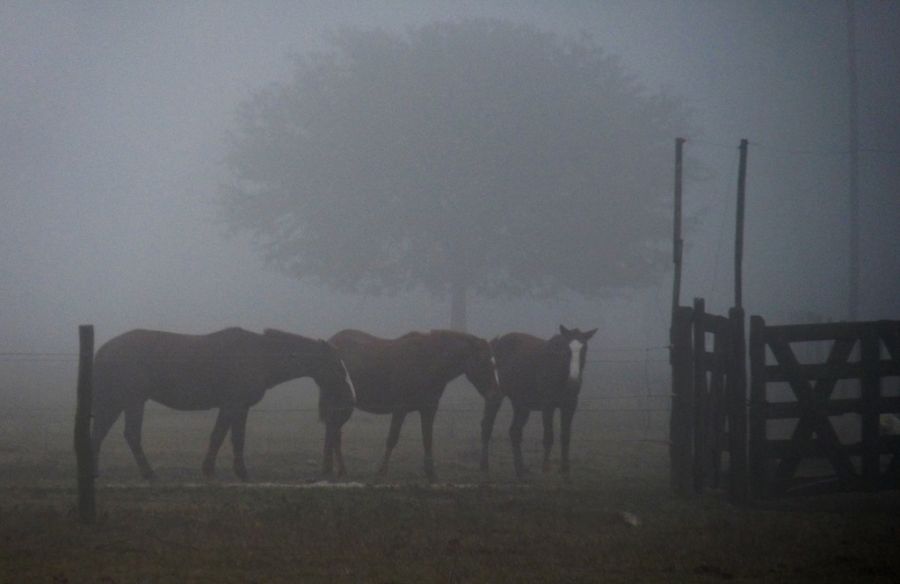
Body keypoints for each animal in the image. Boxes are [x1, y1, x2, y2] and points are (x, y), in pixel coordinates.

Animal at [89, 326, 356, 482]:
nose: (350, 397)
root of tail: (104, 350)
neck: (259, 356)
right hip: (133, 402)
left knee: (99, 433)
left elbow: (229, 437)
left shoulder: (237, 407)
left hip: (116, 402)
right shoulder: (233, 405)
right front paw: (223, 471)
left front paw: (226, 470)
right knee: (131, 434)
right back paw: (148, 473)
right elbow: (225, 437)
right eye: (337, 366)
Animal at [328, 328, 500, 484]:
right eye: (484, 362)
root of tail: (331, 342)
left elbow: (427, 439)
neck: (427, 363)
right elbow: (392, 438)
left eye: (494, 363)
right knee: (335, 434)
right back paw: (341, 470)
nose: (495, 393)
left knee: (334, 433)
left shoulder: (429, 409)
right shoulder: (400, 409)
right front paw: (382, 471)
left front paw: (431, 474)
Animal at [478, 324, 596, 480]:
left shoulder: (570, 406)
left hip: (521, 404)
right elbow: (548, 436)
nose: (574, 382)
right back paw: (484, 466)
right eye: (566, 351)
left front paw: (565, 469)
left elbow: (565, 436)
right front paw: (546, 468)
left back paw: (520, 469)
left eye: (584, 349)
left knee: (515, 432)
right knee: (487, 426)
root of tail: (494, 344)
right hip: (495, 396)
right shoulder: (548, 406)